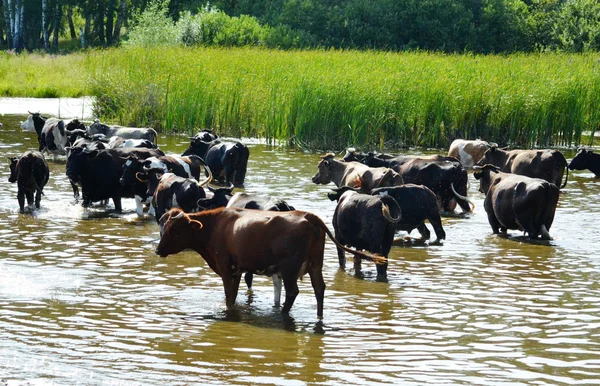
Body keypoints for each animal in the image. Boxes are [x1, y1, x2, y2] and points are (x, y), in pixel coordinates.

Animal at [155, 208, 386, 320]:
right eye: (163, 228)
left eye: (175, 230)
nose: (158, 250)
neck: (215, 227)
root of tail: (308, 216)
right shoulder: (237, 271)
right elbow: (234, 295)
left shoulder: (225, 268)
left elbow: (229, 297)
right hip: (315, 265)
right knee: (319, 289)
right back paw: (319, 317)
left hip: (290, 268)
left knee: (292, 292)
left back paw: (283, 314)